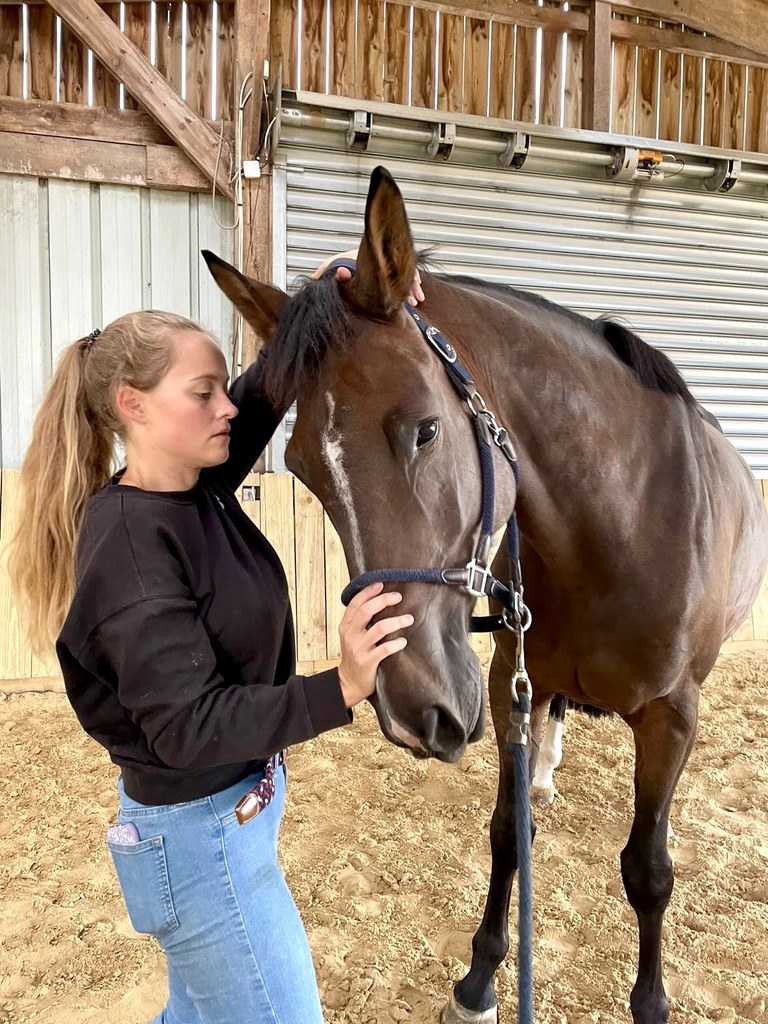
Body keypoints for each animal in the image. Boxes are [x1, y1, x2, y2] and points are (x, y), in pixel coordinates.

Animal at [204, 166, 768, 1024]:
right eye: (302, 467)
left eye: (426, 429)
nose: (412, 713)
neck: (623, 522)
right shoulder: (506, 681)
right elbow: (508, 832)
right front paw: (477, 980)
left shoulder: (673, 716)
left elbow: (649, 868)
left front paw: (650, 1001)